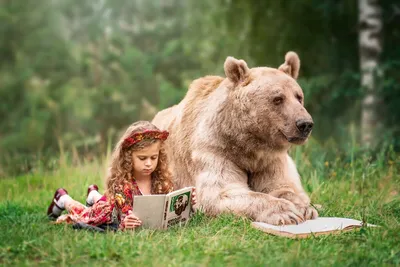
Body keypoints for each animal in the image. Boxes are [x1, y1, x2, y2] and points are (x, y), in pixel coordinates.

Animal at [153, 51, 318, 226]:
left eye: (299, 97)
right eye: (278, 99)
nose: (305, 124)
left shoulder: (271, 158)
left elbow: (281, 186)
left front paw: (305, 208)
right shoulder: (214, 149)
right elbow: (223, 192)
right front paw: (286, 212)